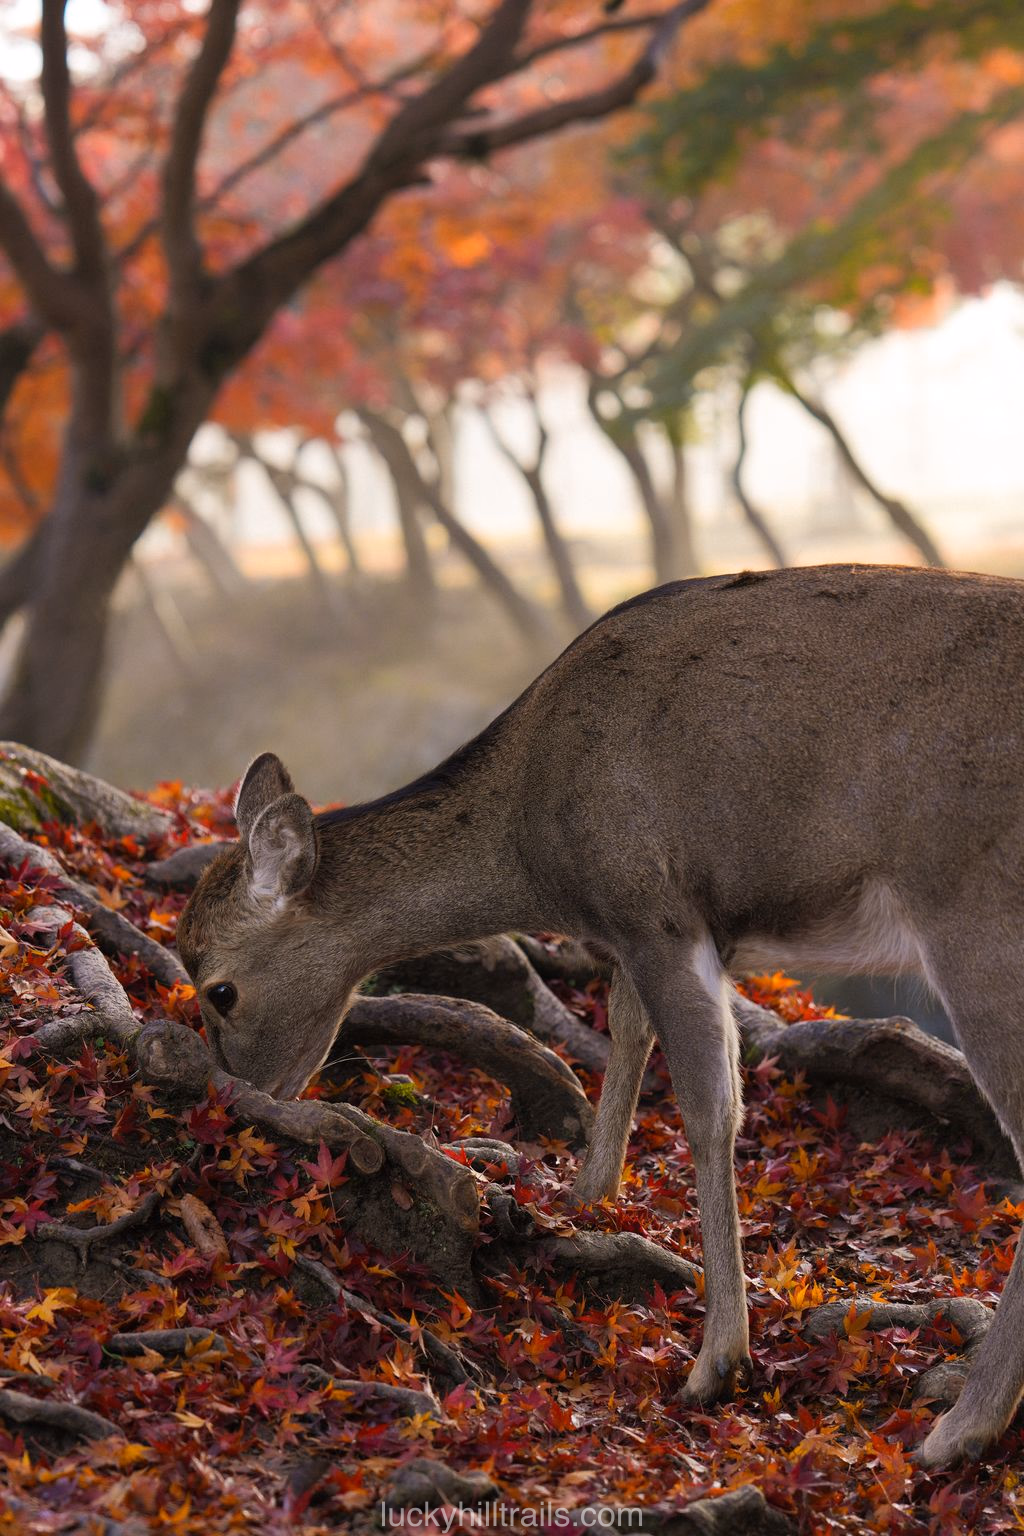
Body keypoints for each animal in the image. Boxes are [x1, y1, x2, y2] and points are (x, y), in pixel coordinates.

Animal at [176, 562, 1024, 1471]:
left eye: (219, 990)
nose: (231, 1101)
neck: (536, 844)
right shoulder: (643, 931)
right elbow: (627, 1026)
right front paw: (588, 1194)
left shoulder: (654, 907)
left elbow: (710, 1104)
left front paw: (717, 1360)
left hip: (976, 919)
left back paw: (959, 1428)